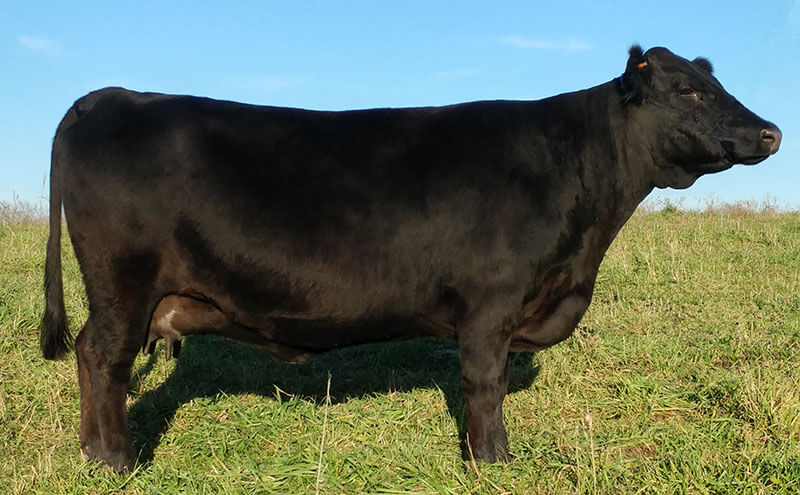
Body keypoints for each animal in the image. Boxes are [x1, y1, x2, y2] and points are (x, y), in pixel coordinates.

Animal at [40, 45, 781, 473]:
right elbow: (484, 386)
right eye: (686, 90)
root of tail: (106, 97)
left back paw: (89, 453)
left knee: (86, 352)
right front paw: (494, 464)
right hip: (124, 282)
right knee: (103, 356)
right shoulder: (489, 303)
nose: (771, 131)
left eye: (713, 82)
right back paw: (116, 462)